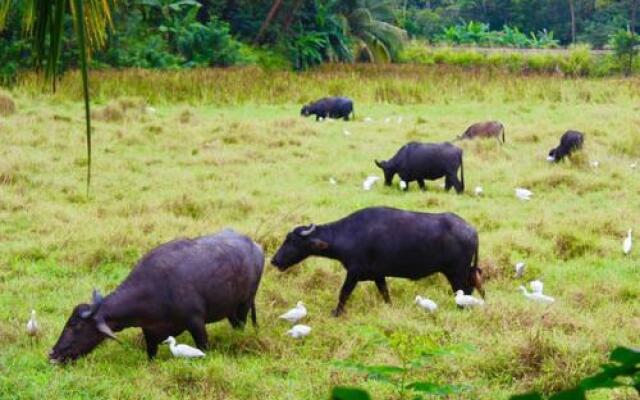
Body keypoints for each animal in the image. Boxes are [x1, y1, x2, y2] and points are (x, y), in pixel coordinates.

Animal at [47, 228, 262, 362]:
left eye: (75, 325)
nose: (53, 353)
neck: (154, 290)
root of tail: (256, 246)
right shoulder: (149, 332)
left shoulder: (196, 323)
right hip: (231, 310)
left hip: (245, 304)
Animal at [270, 208, 484, 318]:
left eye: (291, 241)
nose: (274, 260)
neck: (348, 234)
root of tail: (472, 230)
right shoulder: (378, 275)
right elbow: (385, 294)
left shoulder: (354, 273)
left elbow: (344, 293)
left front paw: (336, 313)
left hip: (456, 272)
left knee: (465, 291)